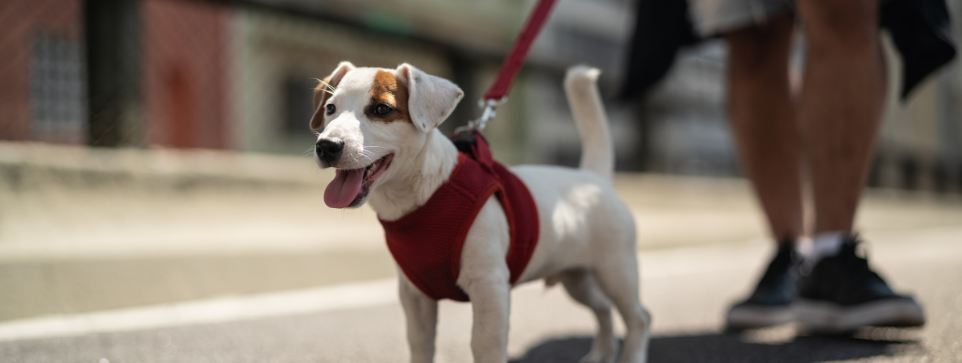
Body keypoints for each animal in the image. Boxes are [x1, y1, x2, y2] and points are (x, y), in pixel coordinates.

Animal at [312, 62, 648, 363]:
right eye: (330, 108)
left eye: (382, 109)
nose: (326, 146)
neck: (424, 196)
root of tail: (593, 178)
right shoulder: (415, 296)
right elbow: (421, 345)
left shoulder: (490, 289)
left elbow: (484, 345)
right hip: (577, 278)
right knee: (603, 308)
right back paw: (602, 353)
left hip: (616, 271)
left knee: (638, 318)